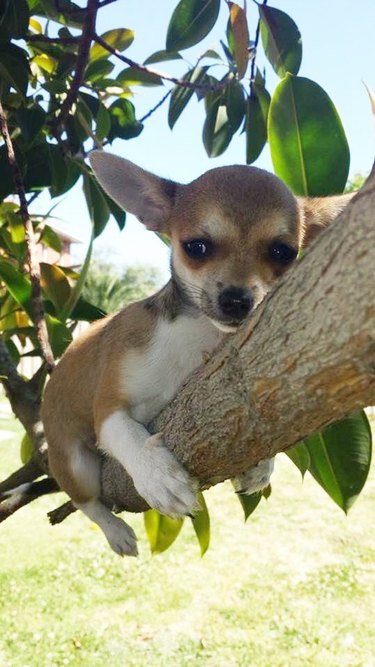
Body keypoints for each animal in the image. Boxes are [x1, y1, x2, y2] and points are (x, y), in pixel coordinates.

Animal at [41, 153, 352, 560]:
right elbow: (130, 435)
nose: (236, 300)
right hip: (75, 463)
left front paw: (262, 464)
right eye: (197, 247)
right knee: (87, 503)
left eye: (283, 252)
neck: (198, 336)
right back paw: (115, 530)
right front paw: (157, 476)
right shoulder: (108, 409)